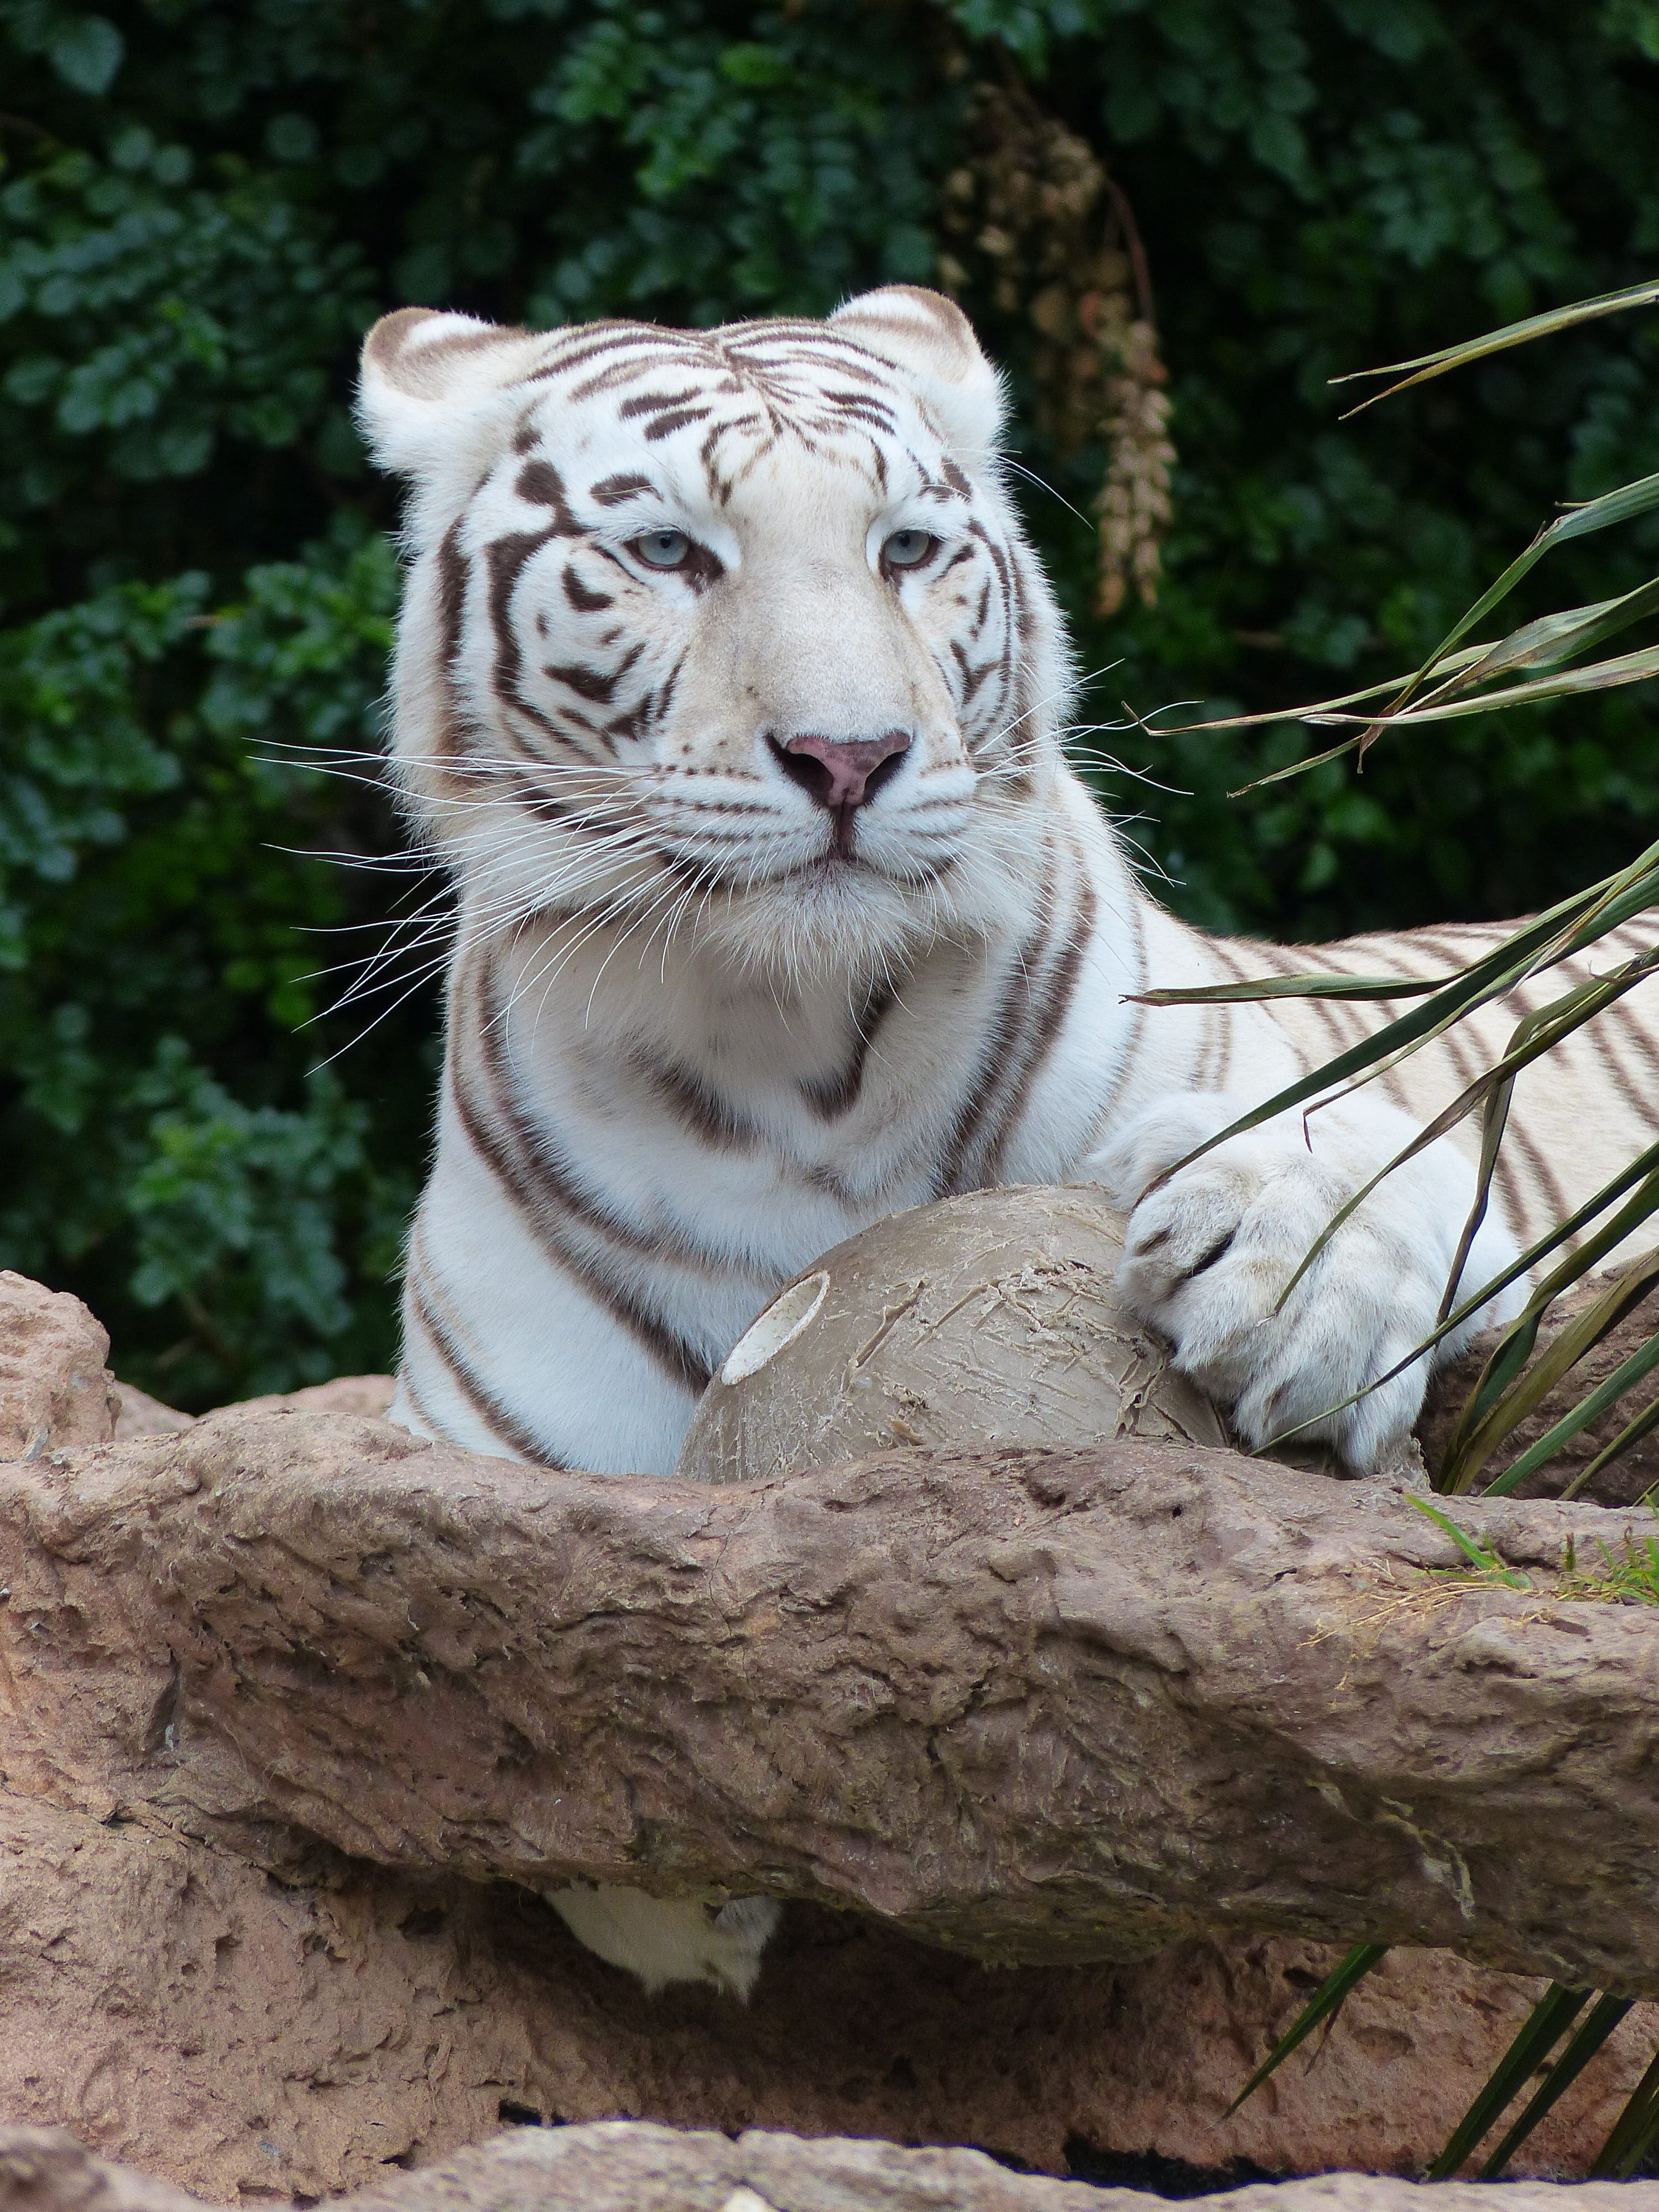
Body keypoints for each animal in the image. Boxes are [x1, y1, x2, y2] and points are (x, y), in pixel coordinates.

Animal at [355, 283, 1659, 2000]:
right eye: (670, 553)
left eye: (906, 548)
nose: (849, 757)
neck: (790, 1057)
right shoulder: (518, 1450)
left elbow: (1372, 1147)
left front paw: (1294, 1291)